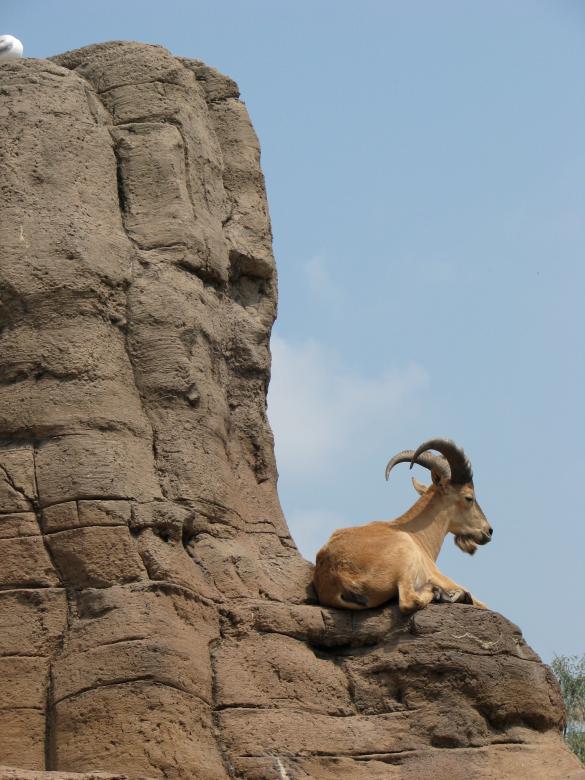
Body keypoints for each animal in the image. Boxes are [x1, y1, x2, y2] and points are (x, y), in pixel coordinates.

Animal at [313, 438, 492, 614]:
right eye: (469, 498)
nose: (488, 530)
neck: (416, 535)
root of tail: (340, 576)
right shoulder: (439, 576)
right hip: (405, 562)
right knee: (408, 602)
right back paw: (439, 593)